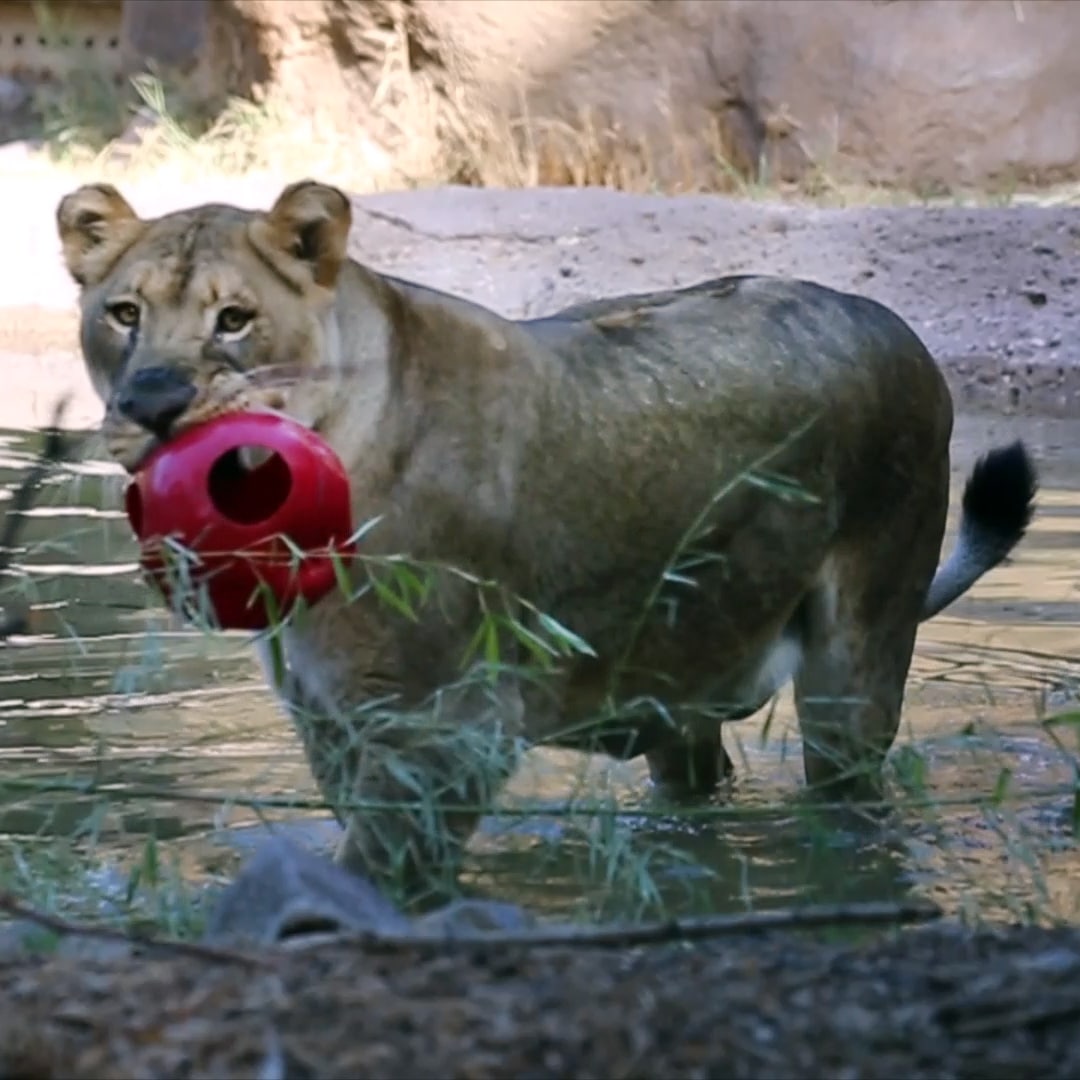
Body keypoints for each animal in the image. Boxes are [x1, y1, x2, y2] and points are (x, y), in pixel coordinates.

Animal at [56, 179, 1037, 902]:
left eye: (234, 318)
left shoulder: (448, 730)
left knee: (851, 797)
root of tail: (891, 322)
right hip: (678, 674)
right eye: (124, 313)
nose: (152, 403)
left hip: (854, 667)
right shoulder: (328, 719)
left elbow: (383, 872)